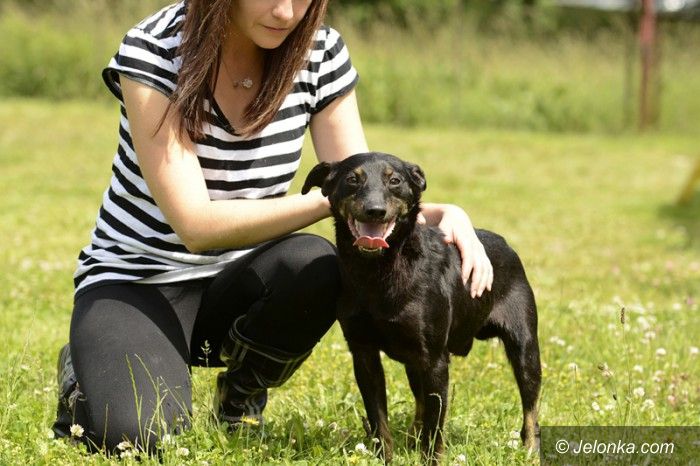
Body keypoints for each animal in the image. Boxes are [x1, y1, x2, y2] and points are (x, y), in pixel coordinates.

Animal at [301, 152, 541, 463]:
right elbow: (379, 421)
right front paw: (386, 458)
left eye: (395, 180)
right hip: (413, 361)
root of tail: (506, 244)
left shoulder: (435, 361)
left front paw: (429, 458)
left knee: (530, 408)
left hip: (525, 348)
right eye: (352, 179)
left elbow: (434, 428)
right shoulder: (364, 354)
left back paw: (530, 450)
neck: (378, 270)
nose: (375, 211)